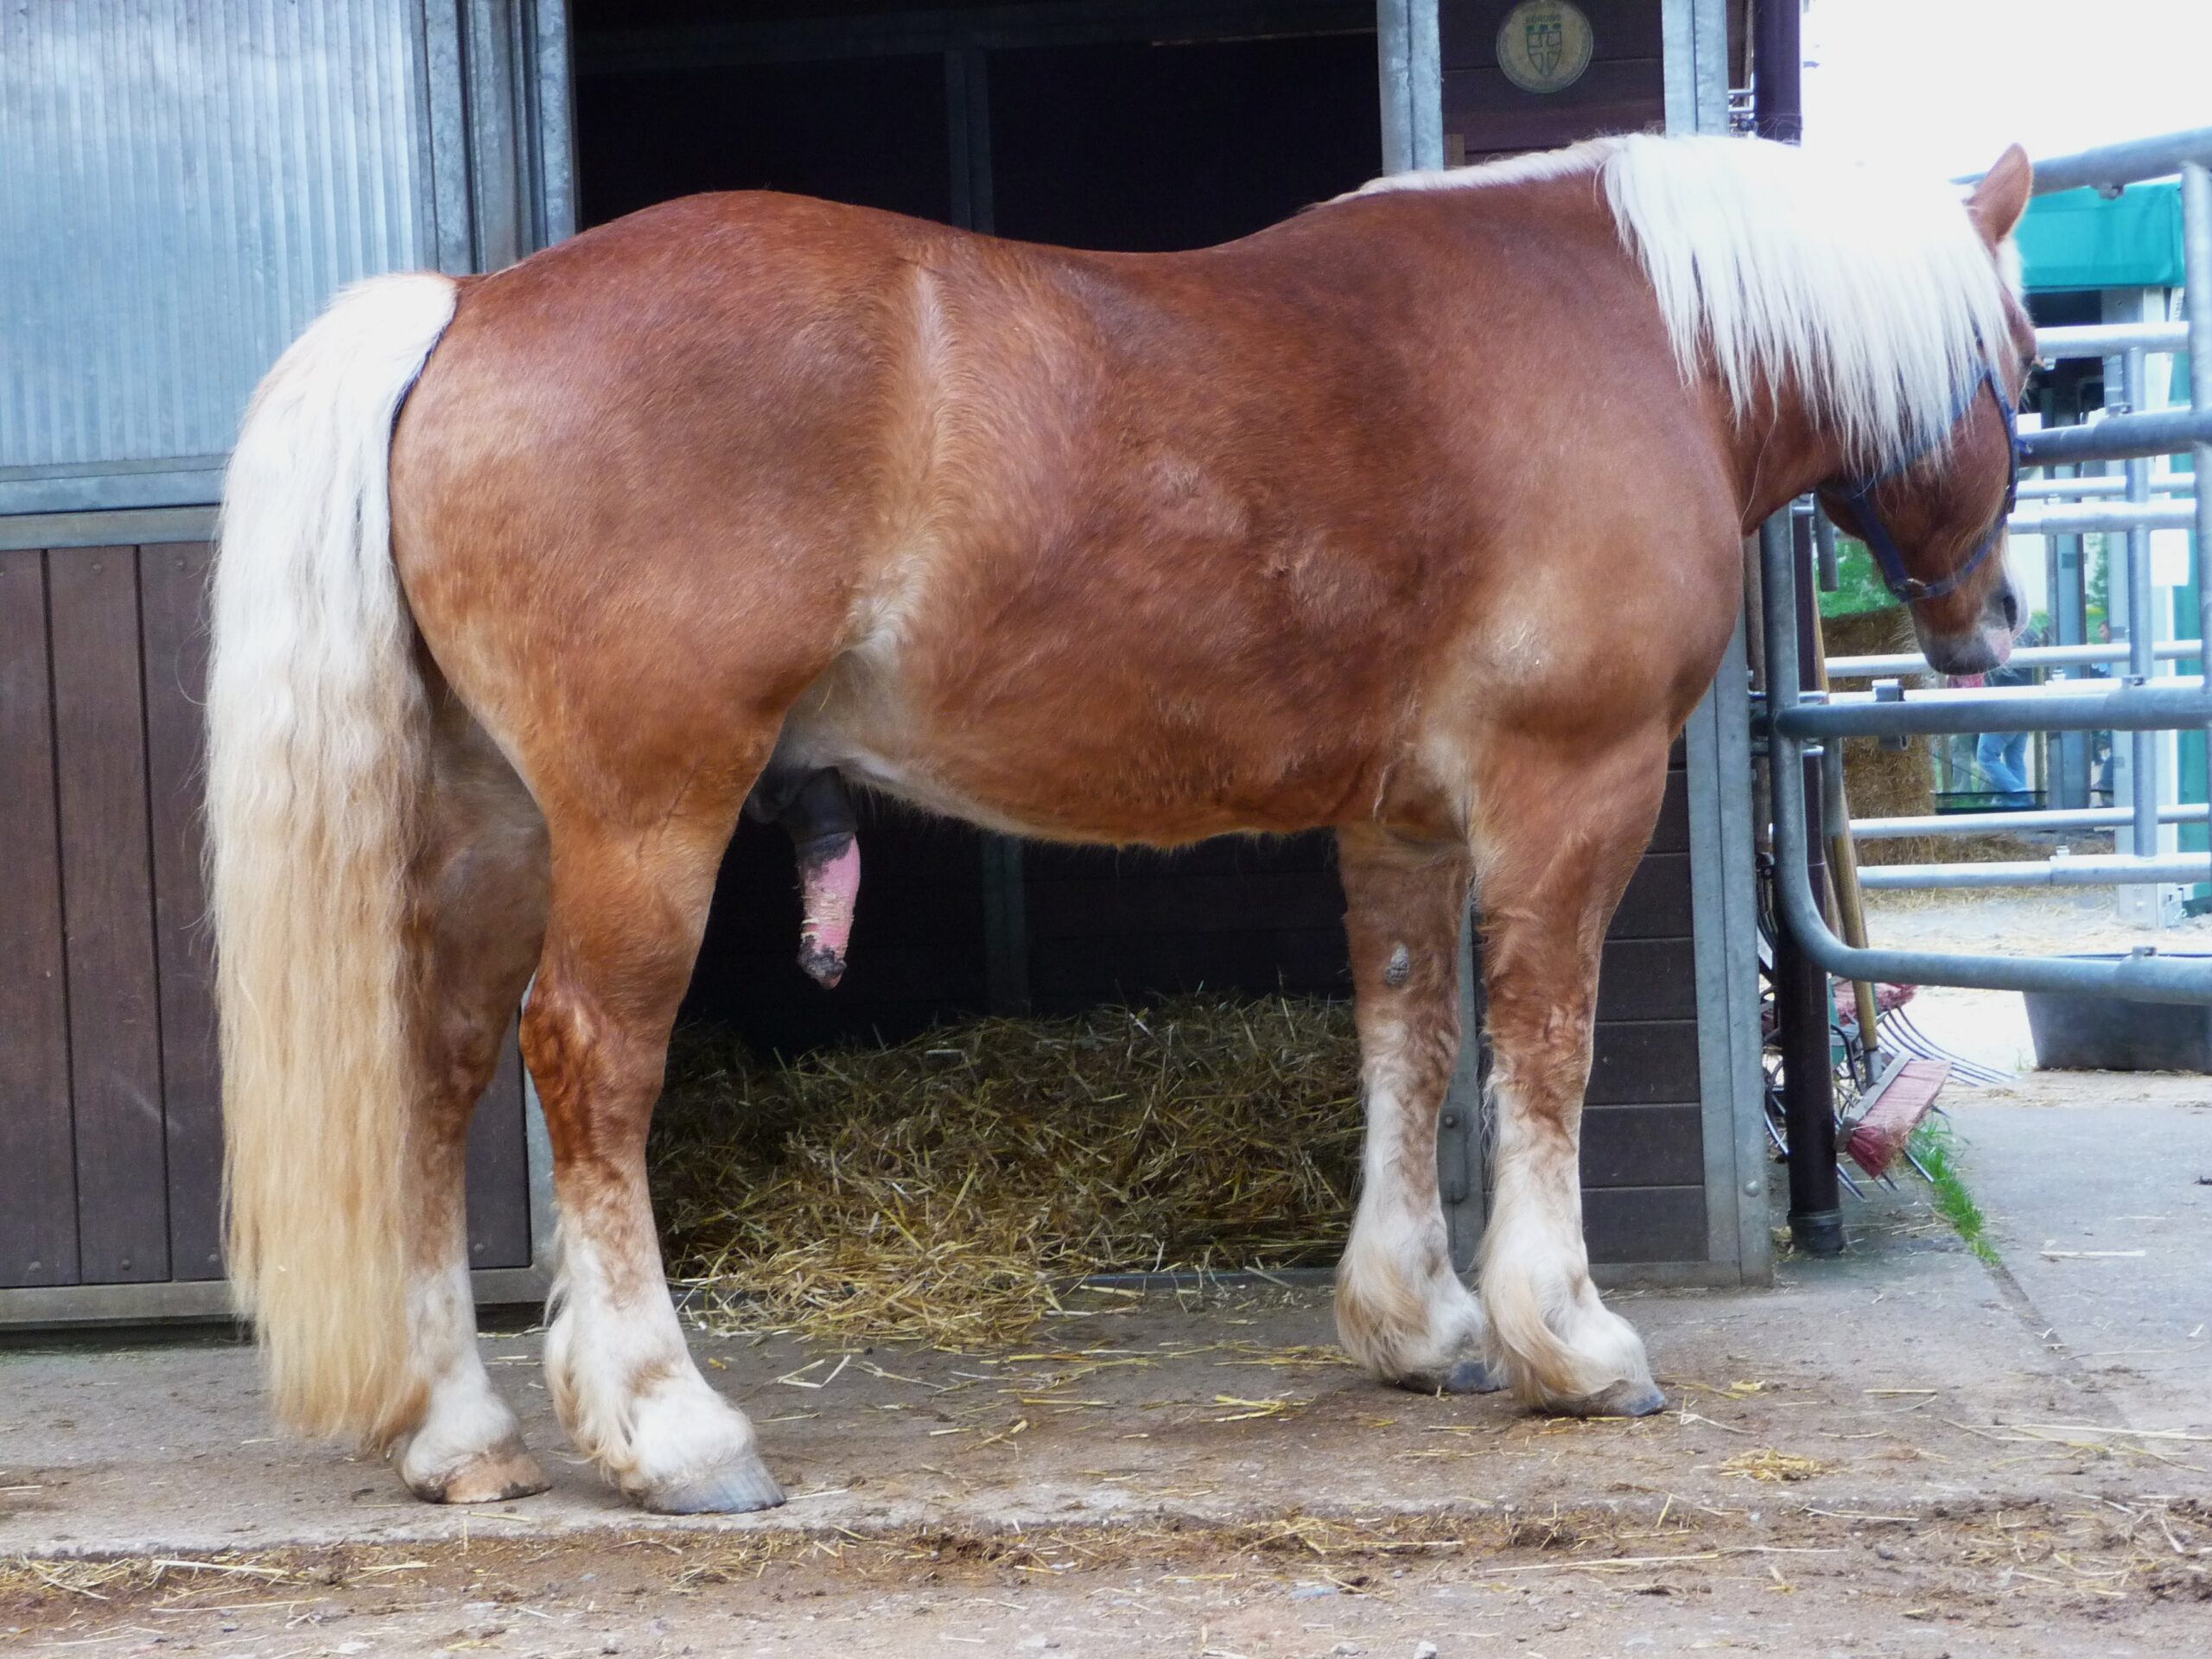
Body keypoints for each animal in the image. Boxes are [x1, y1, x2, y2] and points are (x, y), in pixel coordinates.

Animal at [208, 133, 2035, 1515]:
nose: (1993, 625)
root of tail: (472, 307)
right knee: (590, 1062)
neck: (1628, 323)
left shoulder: (1403, 828)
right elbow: (1546, 1047)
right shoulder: (1568, 793)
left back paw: (464, 1433)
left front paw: (1418, 1323)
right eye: (2025, 360)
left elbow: (1411, 1040)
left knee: (438, 1068)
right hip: (642, 828)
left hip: (502, 830)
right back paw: (670, 1427)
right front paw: (1570, 1343)